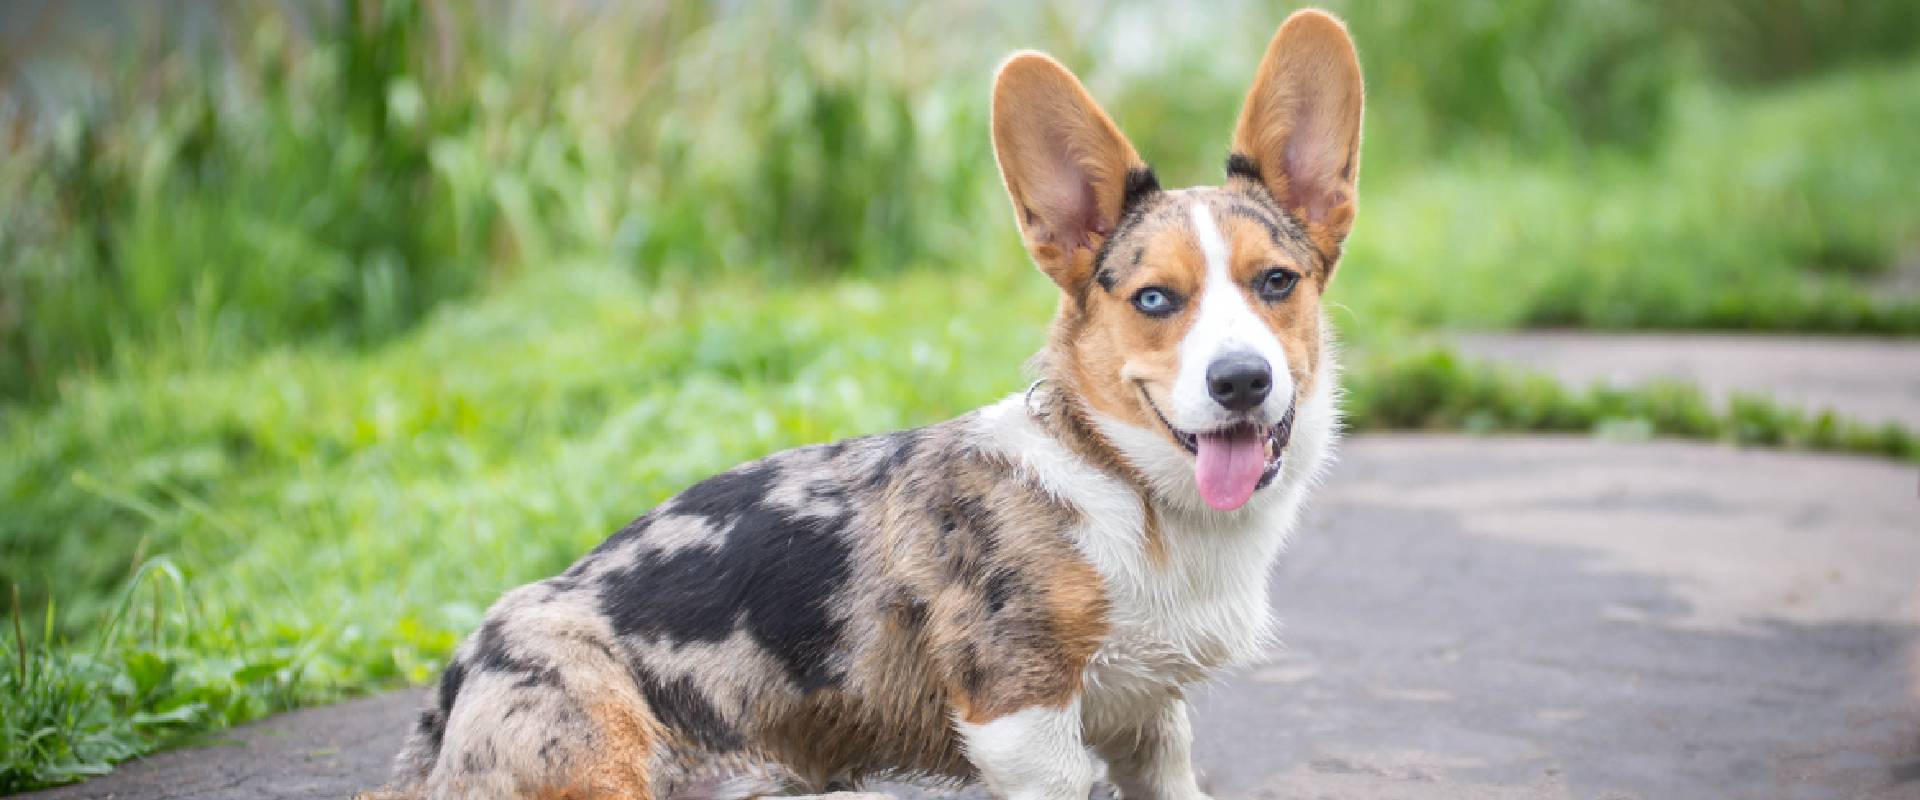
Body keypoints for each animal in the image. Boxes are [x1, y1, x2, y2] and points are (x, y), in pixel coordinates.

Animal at [374, 12, 1367, 798]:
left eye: (1276, 282)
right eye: (1156, 299)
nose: (1240, 381)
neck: (1131, 490)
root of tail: (454, 680)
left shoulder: (1149, 724)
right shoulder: (1023, 725)